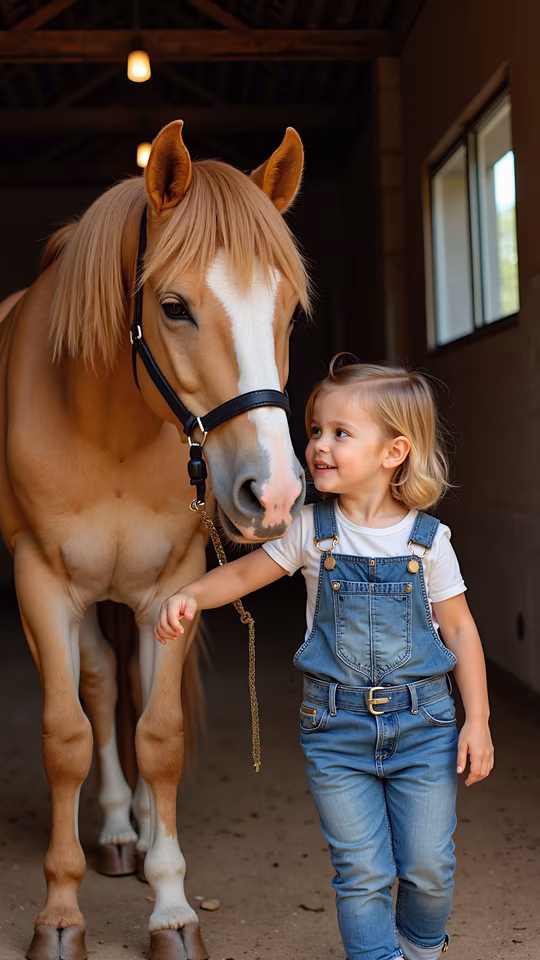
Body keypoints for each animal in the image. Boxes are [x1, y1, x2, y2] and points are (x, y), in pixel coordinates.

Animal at [0, 120, 309, 960]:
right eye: (174, 307)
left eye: (288, 313)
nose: (274, 493)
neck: (110, 427)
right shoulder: (41, 582)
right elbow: (68, 735)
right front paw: (61, 914)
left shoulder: (173, 582)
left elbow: (161, 734)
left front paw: (171, 907)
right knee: (103, 688)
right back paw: (113, 831)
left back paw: (137, 830)